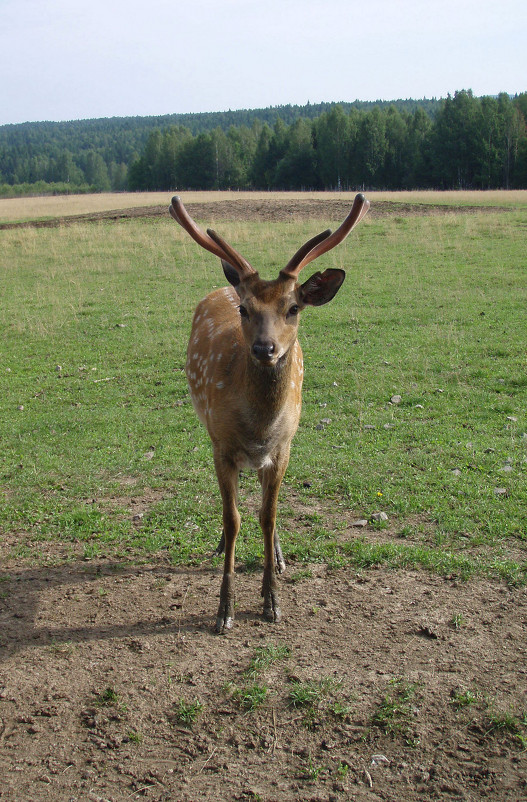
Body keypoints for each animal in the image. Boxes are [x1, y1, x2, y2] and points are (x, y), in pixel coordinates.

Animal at [171, 194, 370, 632]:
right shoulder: (221, 446)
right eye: (245, 310)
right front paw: (224, 610)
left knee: (266, 507)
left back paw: (277, 557)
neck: (257, 426)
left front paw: (271, 600)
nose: (265, 348)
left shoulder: (282, 449)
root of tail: (222, 286)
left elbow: (269, 516)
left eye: (293, 307)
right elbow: (232, 520)